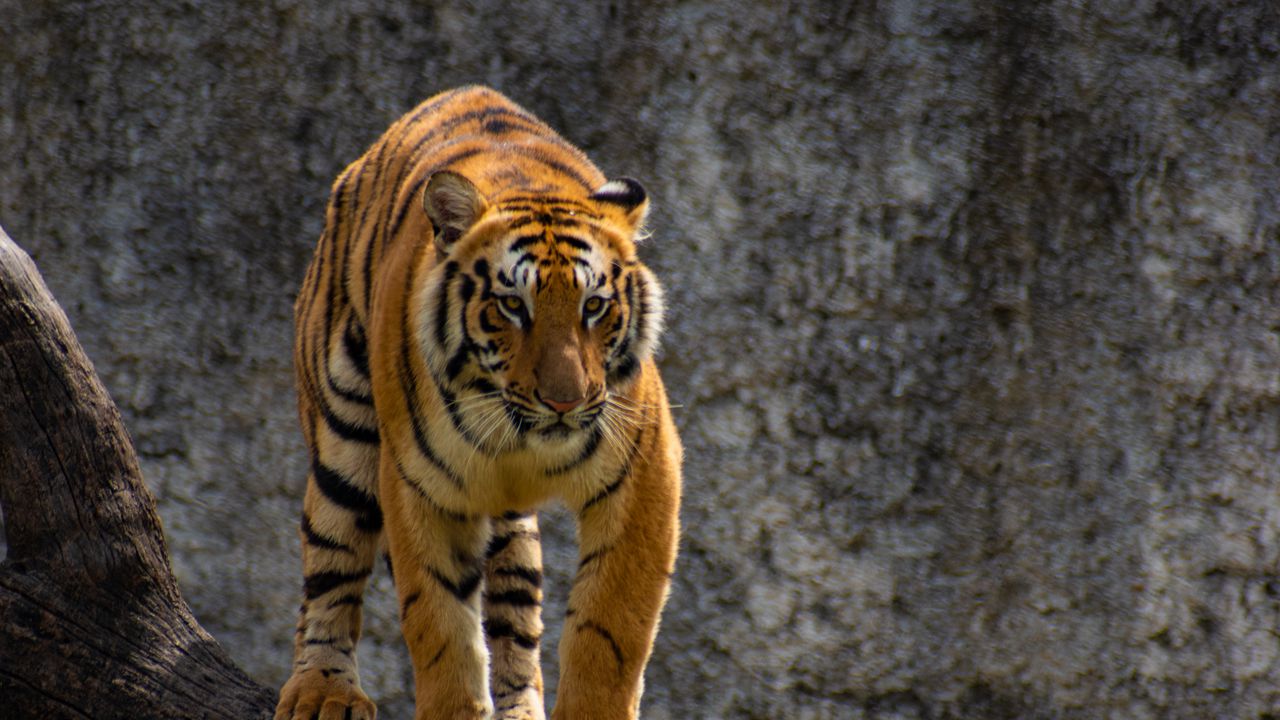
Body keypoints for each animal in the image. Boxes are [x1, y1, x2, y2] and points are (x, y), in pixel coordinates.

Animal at [275, 85, 682, 720]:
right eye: (513, 305)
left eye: (593, 306)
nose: (564, 401)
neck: (518, 436)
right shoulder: (420, 485)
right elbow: (442, 629)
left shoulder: (645, 474)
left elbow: (610, 629)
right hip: (343, 438)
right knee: (330, 568)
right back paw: (323, 690)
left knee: (516, 618)